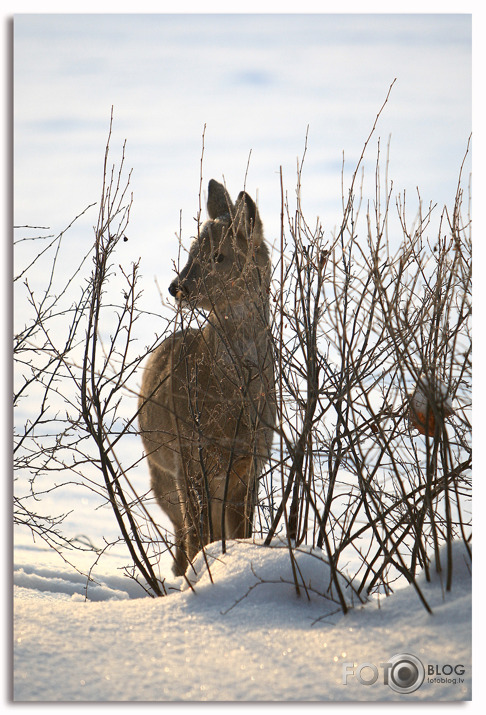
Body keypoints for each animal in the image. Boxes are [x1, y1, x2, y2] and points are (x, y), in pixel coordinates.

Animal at [139, 180, 276, 576]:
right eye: (191, 251)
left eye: (219, 256)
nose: (178, 287)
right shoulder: (189, 452)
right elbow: (199, 533)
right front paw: (202, 573)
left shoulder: (252, 458)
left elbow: (242, 531)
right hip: (162, 475)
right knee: (183, 533)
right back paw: (179, 573)